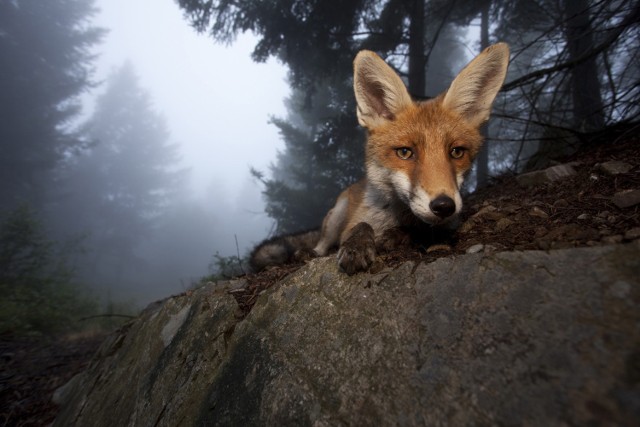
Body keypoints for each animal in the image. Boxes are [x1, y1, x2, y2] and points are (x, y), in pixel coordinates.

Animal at [250, 43, 510, 276]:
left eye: (456, 152)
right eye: (405, 152)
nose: (444, 205)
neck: (398, 215)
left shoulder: (446, 226)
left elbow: (420, 231)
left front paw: (396, 236)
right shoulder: (352, 225)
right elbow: (361, 226)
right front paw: (357, 246)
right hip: (336, 216)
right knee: (321, 245)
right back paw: (308, 253)